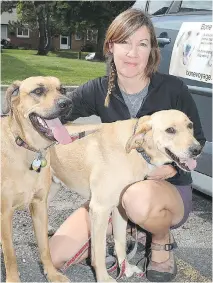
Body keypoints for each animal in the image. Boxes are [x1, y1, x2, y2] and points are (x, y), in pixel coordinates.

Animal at [0, 76, 74, 282]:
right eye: (38, 91)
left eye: (62, 89)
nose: (67, 103)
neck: (27, 148)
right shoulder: (4, 212)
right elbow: (10, 254)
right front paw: (13, 279)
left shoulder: (39, 205)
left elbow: (44, 248)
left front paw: (52, 273)